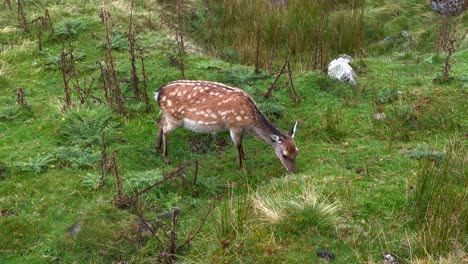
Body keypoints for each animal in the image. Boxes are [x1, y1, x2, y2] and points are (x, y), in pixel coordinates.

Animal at [155, 81, 298, 175]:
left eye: (297, 151)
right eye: (284, 155)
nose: (293, 172)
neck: (250, 120)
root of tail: (157, 93)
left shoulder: (240, 127)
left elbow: (241, 143)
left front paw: (245, 157)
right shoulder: (234, 125)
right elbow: (238, 145)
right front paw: (242, 168)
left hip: (168, 115)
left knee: (160, 122)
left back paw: (158, 147)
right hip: (175, 117)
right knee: (166, 130)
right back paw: (166, 158)